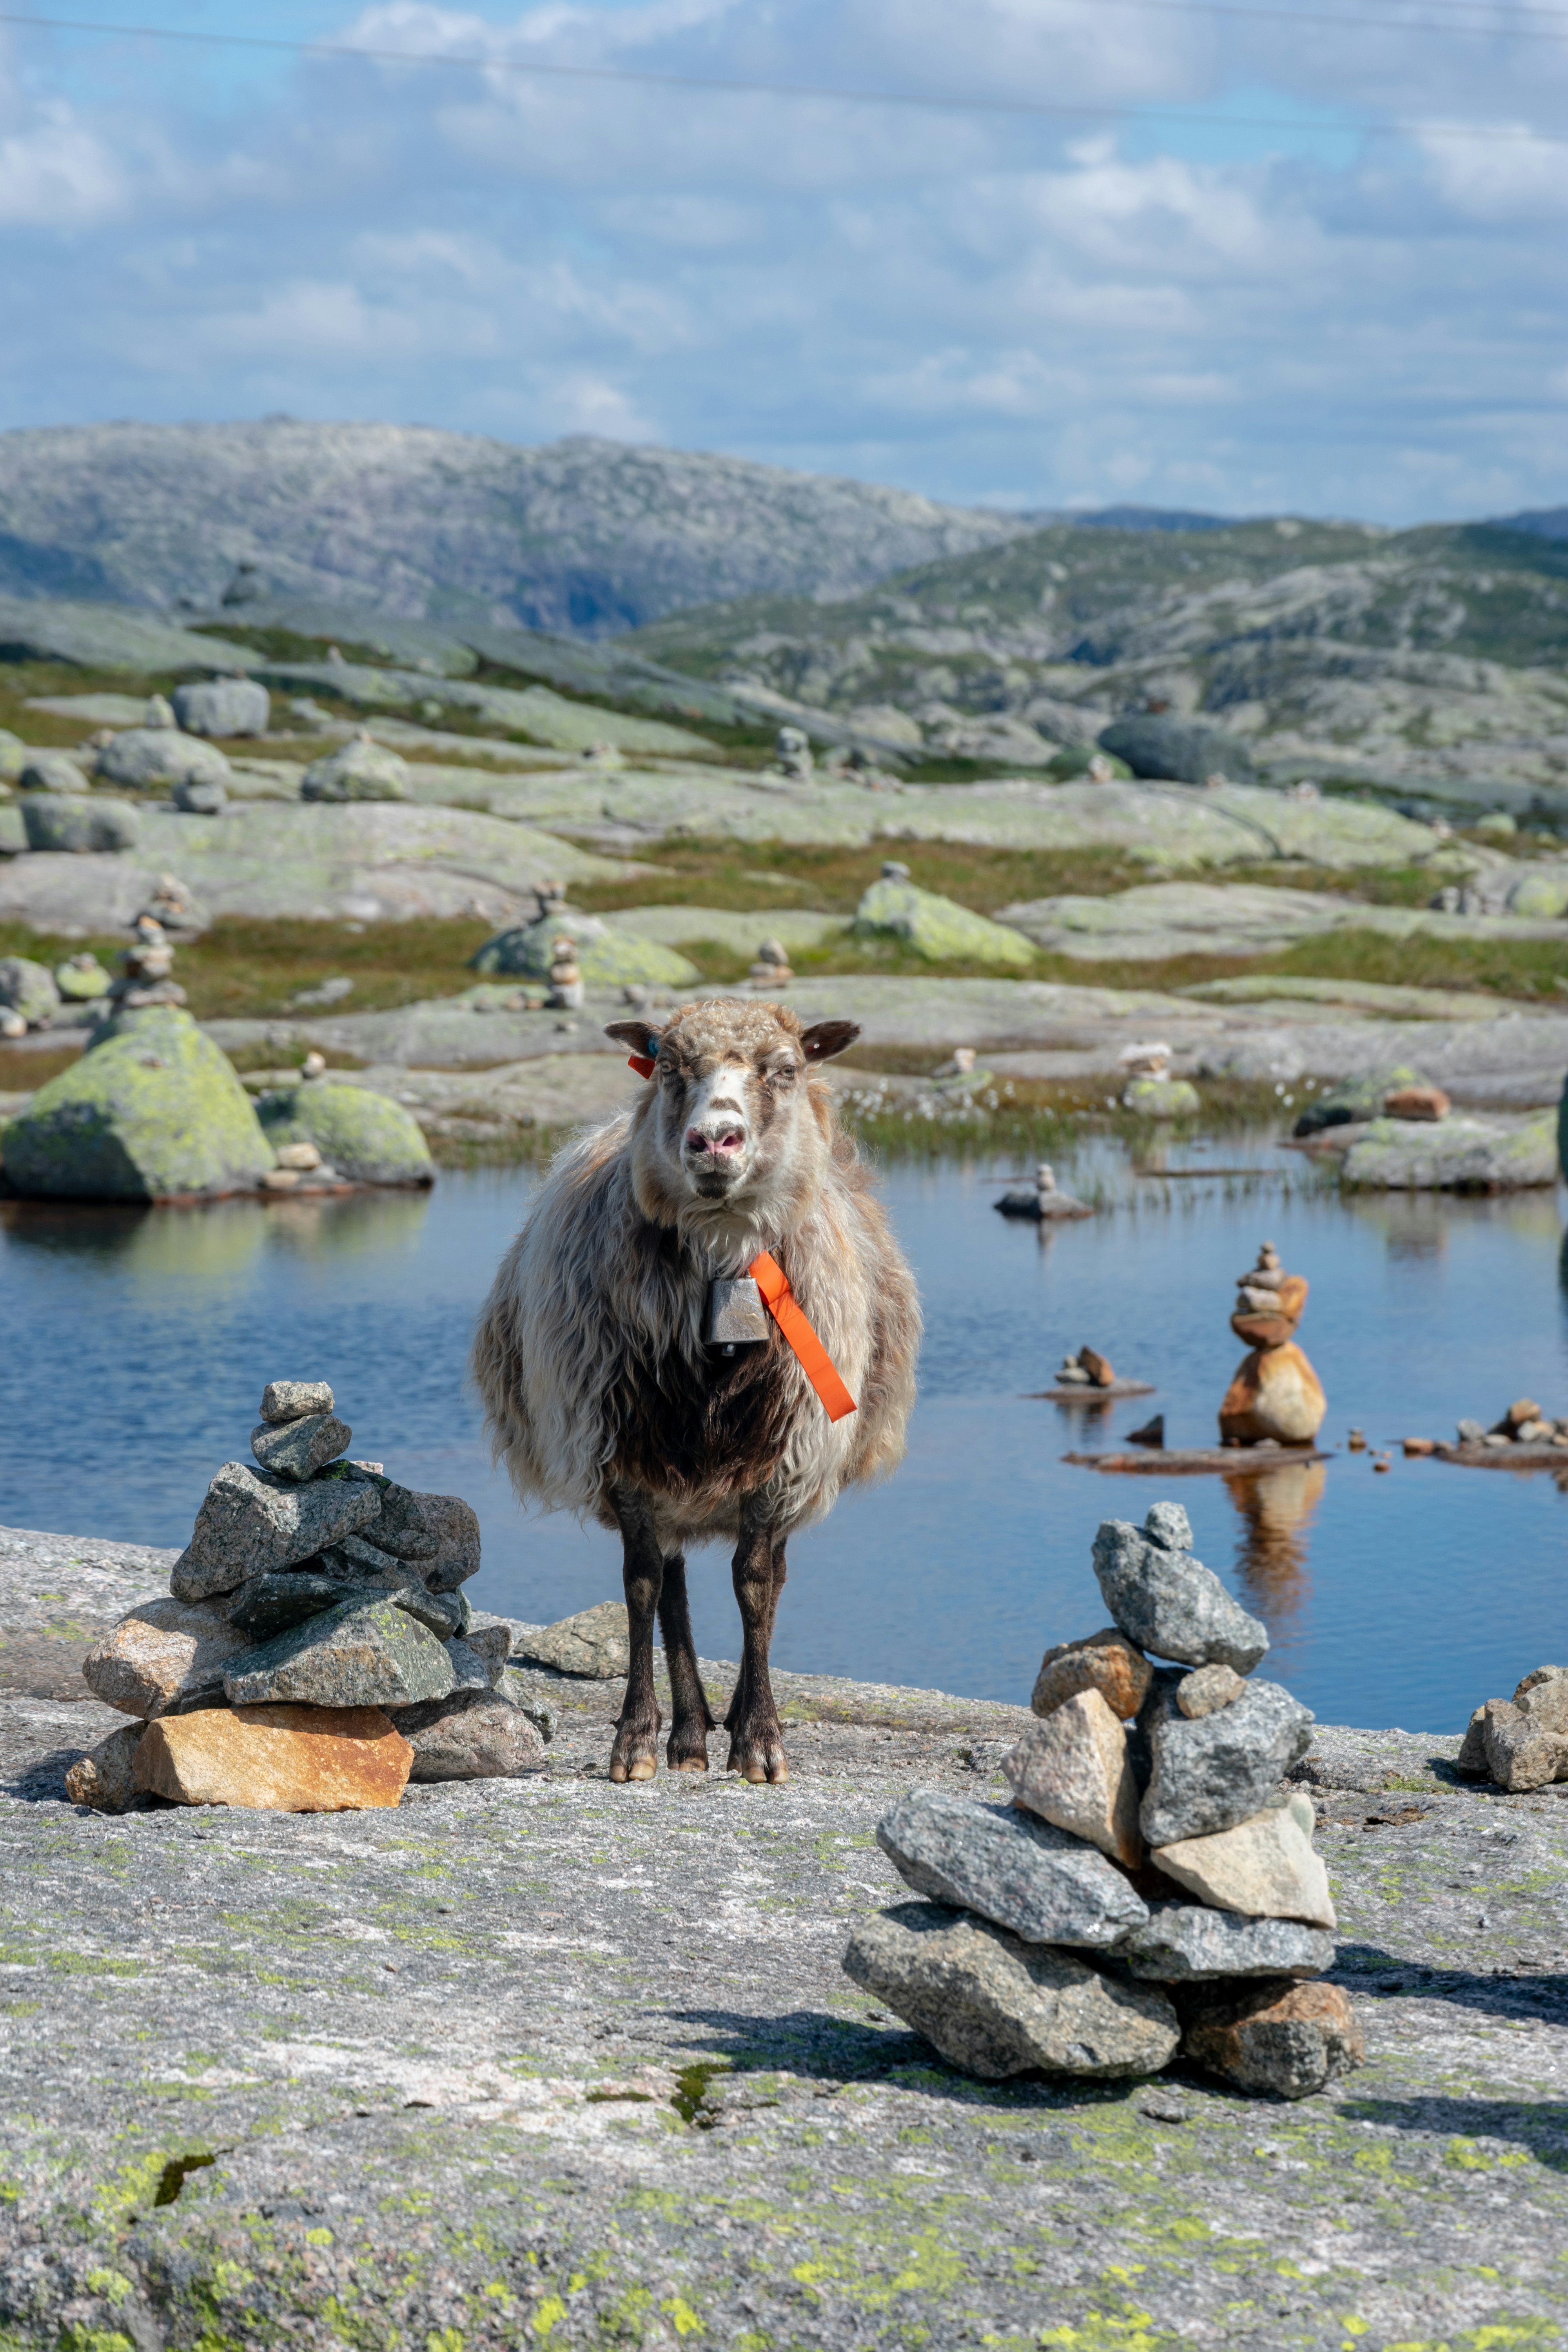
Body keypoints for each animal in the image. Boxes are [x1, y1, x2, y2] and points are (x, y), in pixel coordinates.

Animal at [471, 997, 921, 1785]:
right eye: (670, 1067)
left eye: (785, 1070)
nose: (714, 1141)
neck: (724, 1258)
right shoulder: (622, 1450)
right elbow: (643, 1584)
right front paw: (636, 1740)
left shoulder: (786, 1455)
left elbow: (755, 1583)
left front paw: (762, 1742)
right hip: (669, 1472)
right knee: (675, 1584)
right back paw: (687, 1735)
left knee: (772, 1577)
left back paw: (732, 1716)